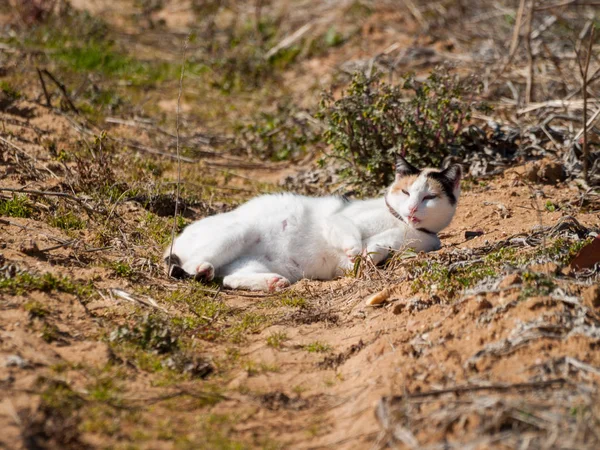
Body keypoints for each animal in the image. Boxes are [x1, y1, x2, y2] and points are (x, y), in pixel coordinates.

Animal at [162, 156, 462, 292]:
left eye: (429, 197)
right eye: (406, 192)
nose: (411, 209)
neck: (398, 221)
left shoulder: (422, 239)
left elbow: (386, 244)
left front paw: (369, 256)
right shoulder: (339, 219)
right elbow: (352, 235)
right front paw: (356, 252)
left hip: (255, 264)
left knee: (230, 278)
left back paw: (272, 282)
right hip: (236, 232)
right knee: (192, 264)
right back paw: (202, 270)